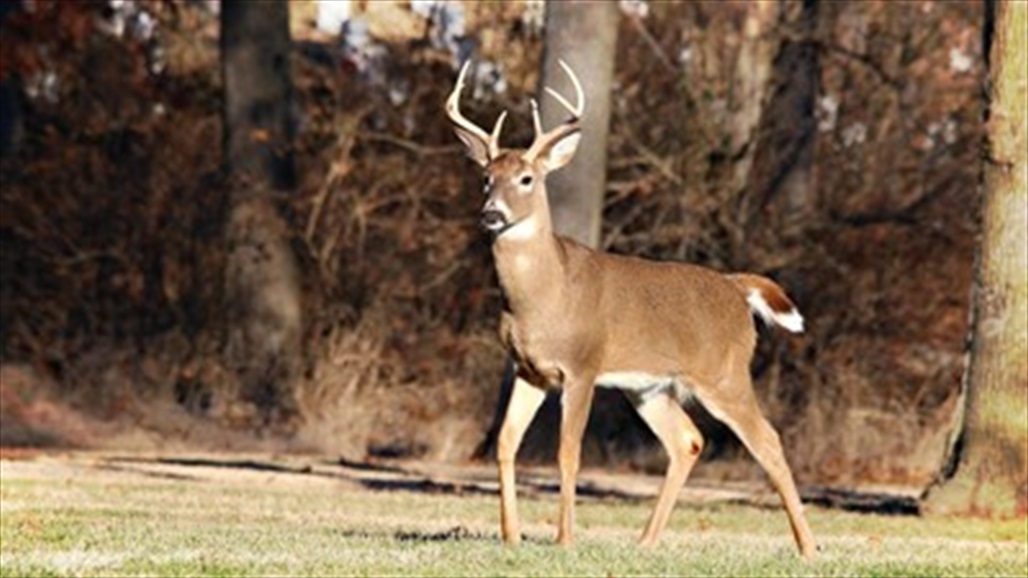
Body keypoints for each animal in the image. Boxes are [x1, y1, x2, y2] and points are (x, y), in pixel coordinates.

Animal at [446, 59, 814, 559]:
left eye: (527, 179)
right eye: (486, 178)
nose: (491, 214)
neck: (542, 298)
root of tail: (737, 290)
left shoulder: (582, 366)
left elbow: (568, 452)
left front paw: (564, 539)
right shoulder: (529, 369)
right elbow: (506, 443)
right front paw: (512, 536)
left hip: (724, 374)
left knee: (768, 440)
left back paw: (808, 547)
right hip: (649, 387)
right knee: (687, 440)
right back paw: (646, 540)